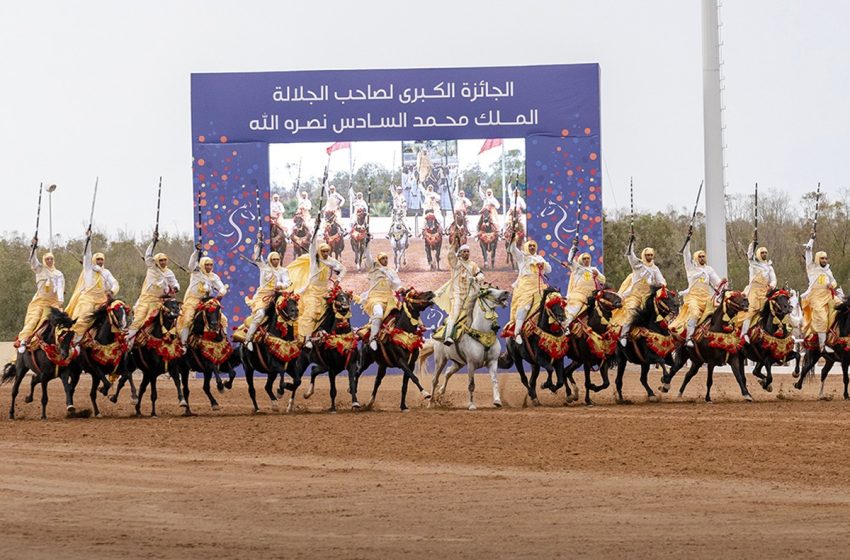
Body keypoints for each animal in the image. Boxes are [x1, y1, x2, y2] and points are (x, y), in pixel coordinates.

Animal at [296, 284, 360, 412]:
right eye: (338, 297)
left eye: (347, 297)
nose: (345, 305)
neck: (341, 338)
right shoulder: (331, 368)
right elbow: (333, 390)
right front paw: (333, 408)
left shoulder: (351, 364)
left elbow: (352, 383)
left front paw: (355, 403)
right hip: (303, 363)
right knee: (298, 380)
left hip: (325, 366)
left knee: (313, 370)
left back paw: (308, 393)